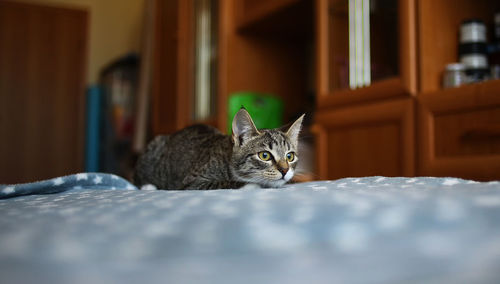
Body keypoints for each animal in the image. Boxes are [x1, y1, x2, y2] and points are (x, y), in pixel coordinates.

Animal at [134, 107, 304, 190]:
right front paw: (251, 185)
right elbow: (222, 182)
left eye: (290, 156)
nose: (285, 170)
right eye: (264, 155)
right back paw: (148, 186)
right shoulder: (193, 182)